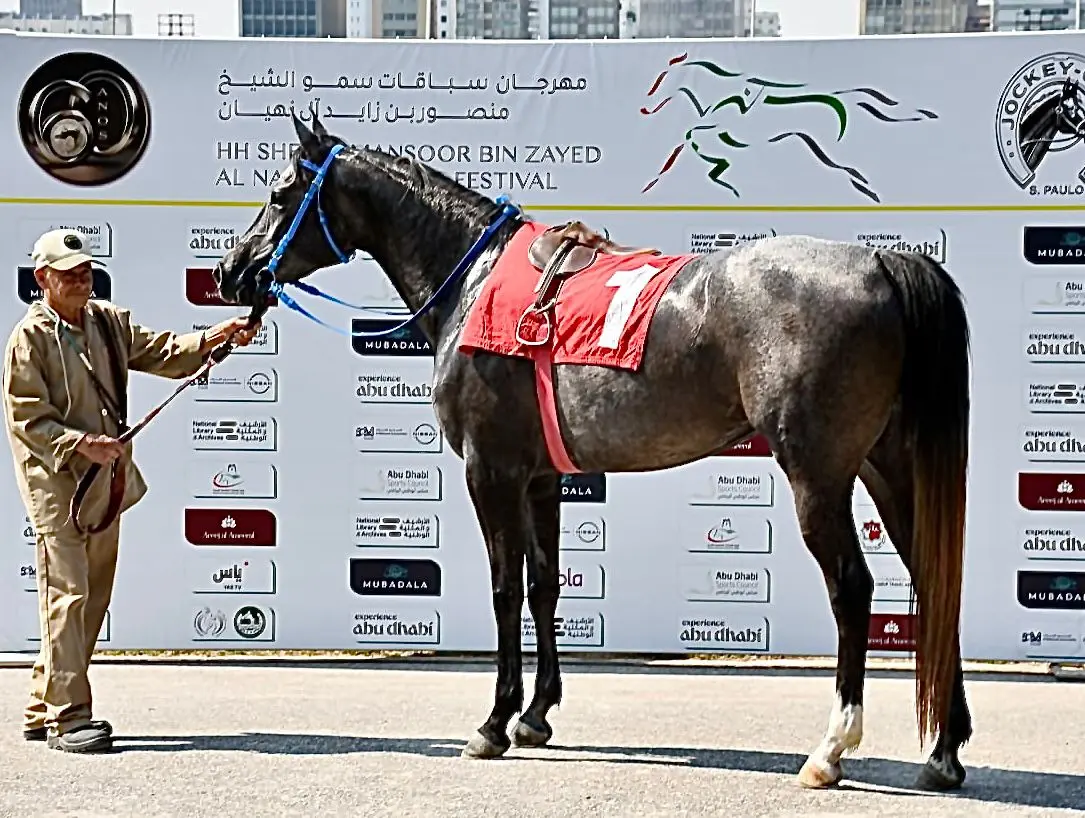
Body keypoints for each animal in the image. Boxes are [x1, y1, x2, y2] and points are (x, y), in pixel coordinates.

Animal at [211, 111, 976, 785]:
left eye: (279, 193)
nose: (232, 271)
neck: (476, 279)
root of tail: (880, 260)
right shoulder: (540, 478)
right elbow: (545, 585)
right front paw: (535, 715)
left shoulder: (490, 471)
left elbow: (503, 589)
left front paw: (493, 722)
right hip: (886, 468)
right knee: (934, 577)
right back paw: (943, 749)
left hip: (818, 475)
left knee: (853, 587)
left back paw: (831, 748)